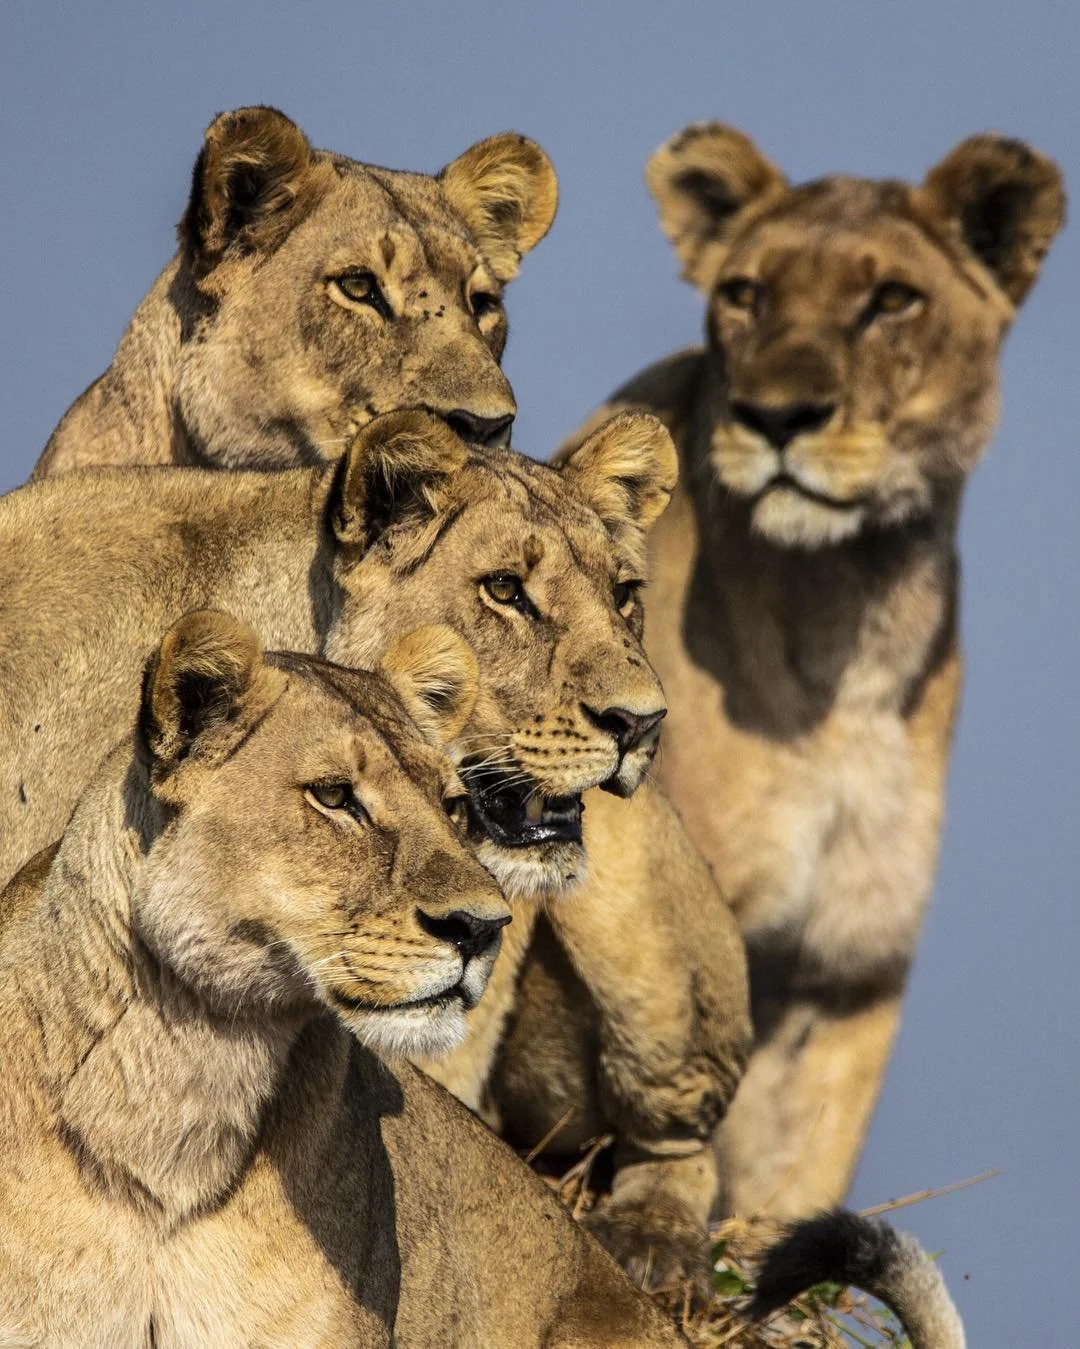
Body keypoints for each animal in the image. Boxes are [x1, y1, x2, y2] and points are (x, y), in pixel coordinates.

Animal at [558, 125, 1065, 1219]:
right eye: (744, 293)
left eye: (892, 300)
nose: (777, 416)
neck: (851, 631)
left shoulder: (852, 970)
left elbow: (796, 1187)